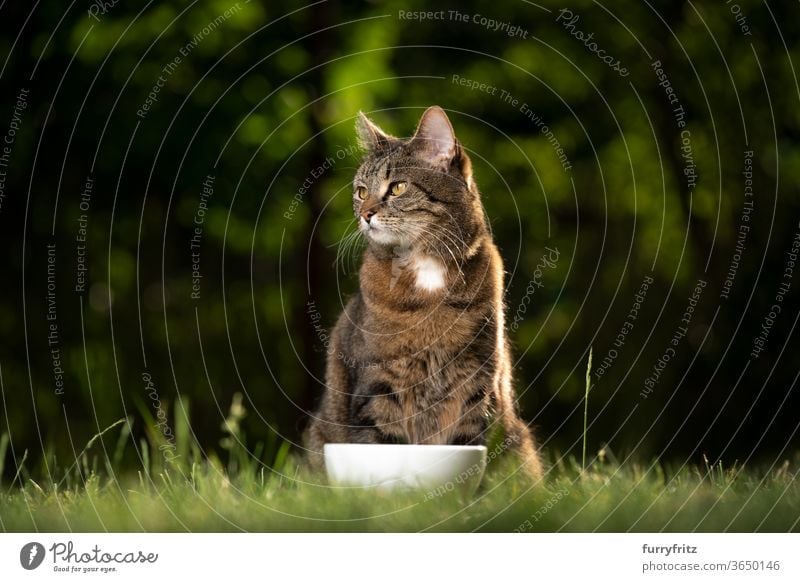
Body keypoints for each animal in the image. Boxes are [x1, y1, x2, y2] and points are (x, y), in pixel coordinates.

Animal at [304, 107, 544, 482]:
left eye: (398, 187)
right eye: (361, 191)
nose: (365, 213)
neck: (424, 268)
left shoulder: (476, 384)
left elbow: (467, 442)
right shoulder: (378, 385)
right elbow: (381, 442)